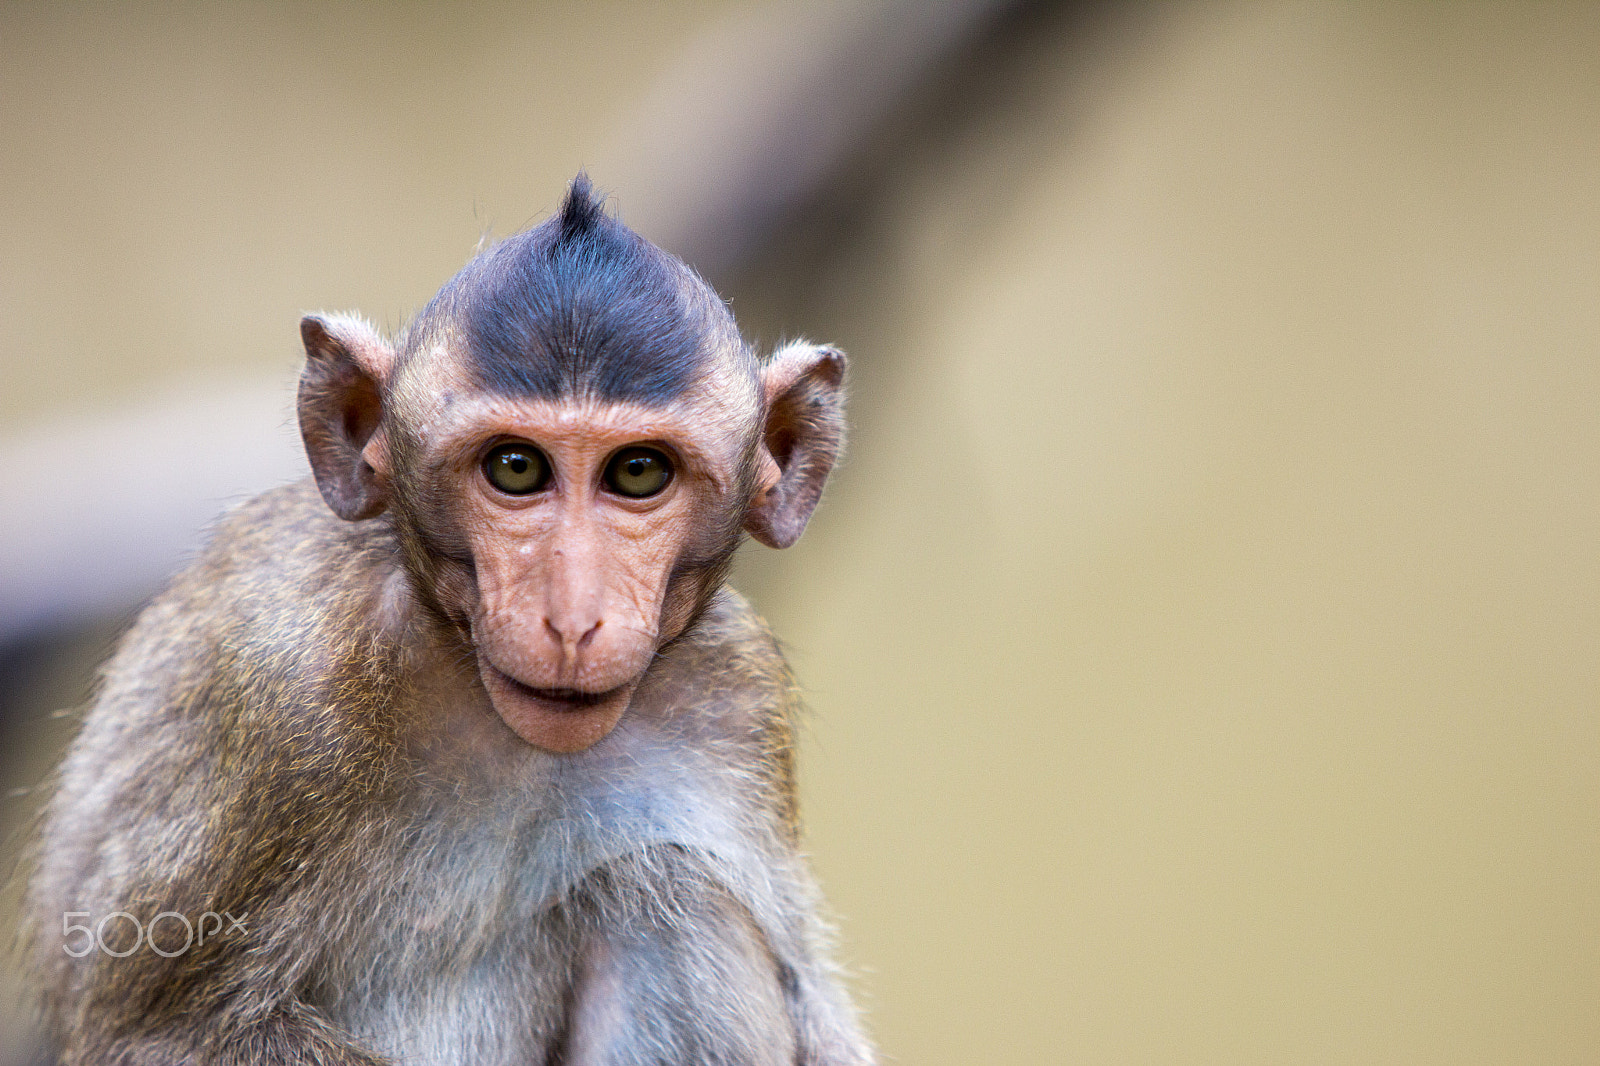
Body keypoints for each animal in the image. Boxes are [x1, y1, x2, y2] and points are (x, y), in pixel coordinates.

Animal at [21, 174, 873, 1066]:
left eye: (639, 472)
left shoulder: (735, 693)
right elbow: (162, 1033)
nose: (573, 619)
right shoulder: (286, 697)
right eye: (516, 467)